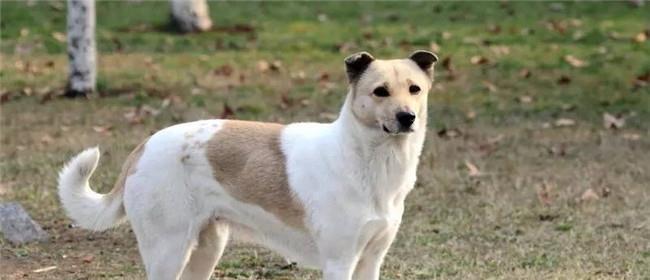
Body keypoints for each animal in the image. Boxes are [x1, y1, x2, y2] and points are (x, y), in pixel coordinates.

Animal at [58, 50, 438, 280]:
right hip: (168, 249)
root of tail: (143, 146)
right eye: (380, 92)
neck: (366, 161)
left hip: (207, 248)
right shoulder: (339, 261)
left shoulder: (371, 259)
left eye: (415, 89)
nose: (407, 117)